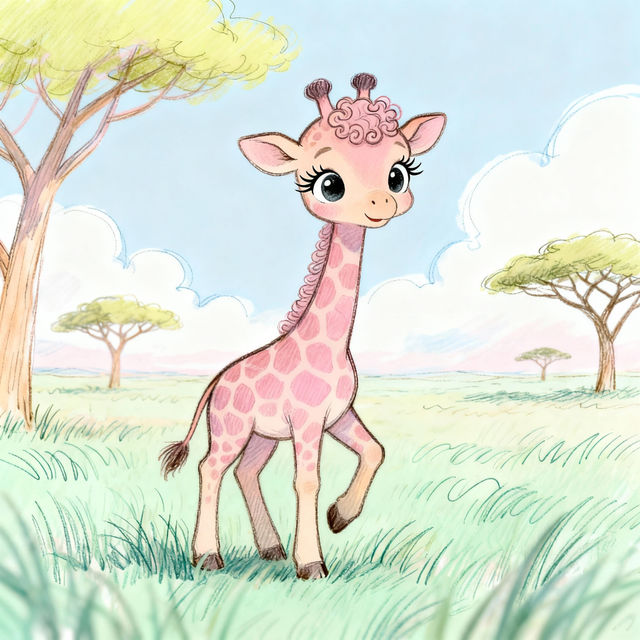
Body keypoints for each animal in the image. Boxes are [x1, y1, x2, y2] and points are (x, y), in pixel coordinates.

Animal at [159, 73, 446, 580]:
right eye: (329, 184)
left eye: (399, 172)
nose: (380, 202)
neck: (330, 343)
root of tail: (216, 382)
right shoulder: (309, 420)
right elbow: (307, 480)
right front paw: (312, 563)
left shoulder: (339, 414)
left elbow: (375, 450)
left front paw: (340, 517)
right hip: (232, 428)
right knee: (211, 468)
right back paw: (208, 556)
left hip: (262, 435)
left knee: (245, 471)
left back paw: (270, 548)